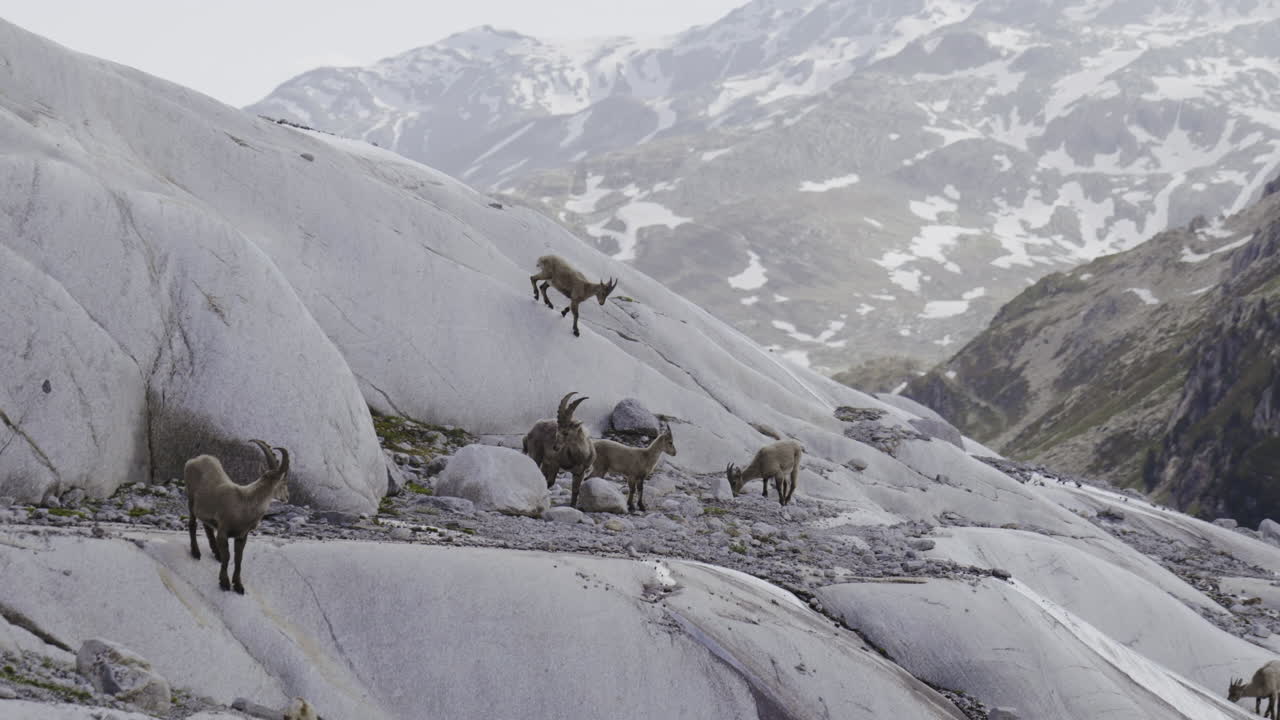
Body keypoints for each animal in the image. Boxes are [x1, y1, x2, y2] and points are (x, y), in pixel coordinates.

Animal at [184, 439, 290, 594]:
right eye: (283, 483)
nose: (287, 497)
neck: (245, 503)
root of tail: (196, 459)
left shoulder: (242, 536)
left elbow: (238, 559)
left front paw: (238, 585)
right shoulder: (223, 531)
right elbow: (228, 557)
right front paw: (224, 582)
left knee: (207, 525)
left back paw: (216, 553)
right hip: (190, 498)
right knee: (193, 523)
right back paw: (196, 552)